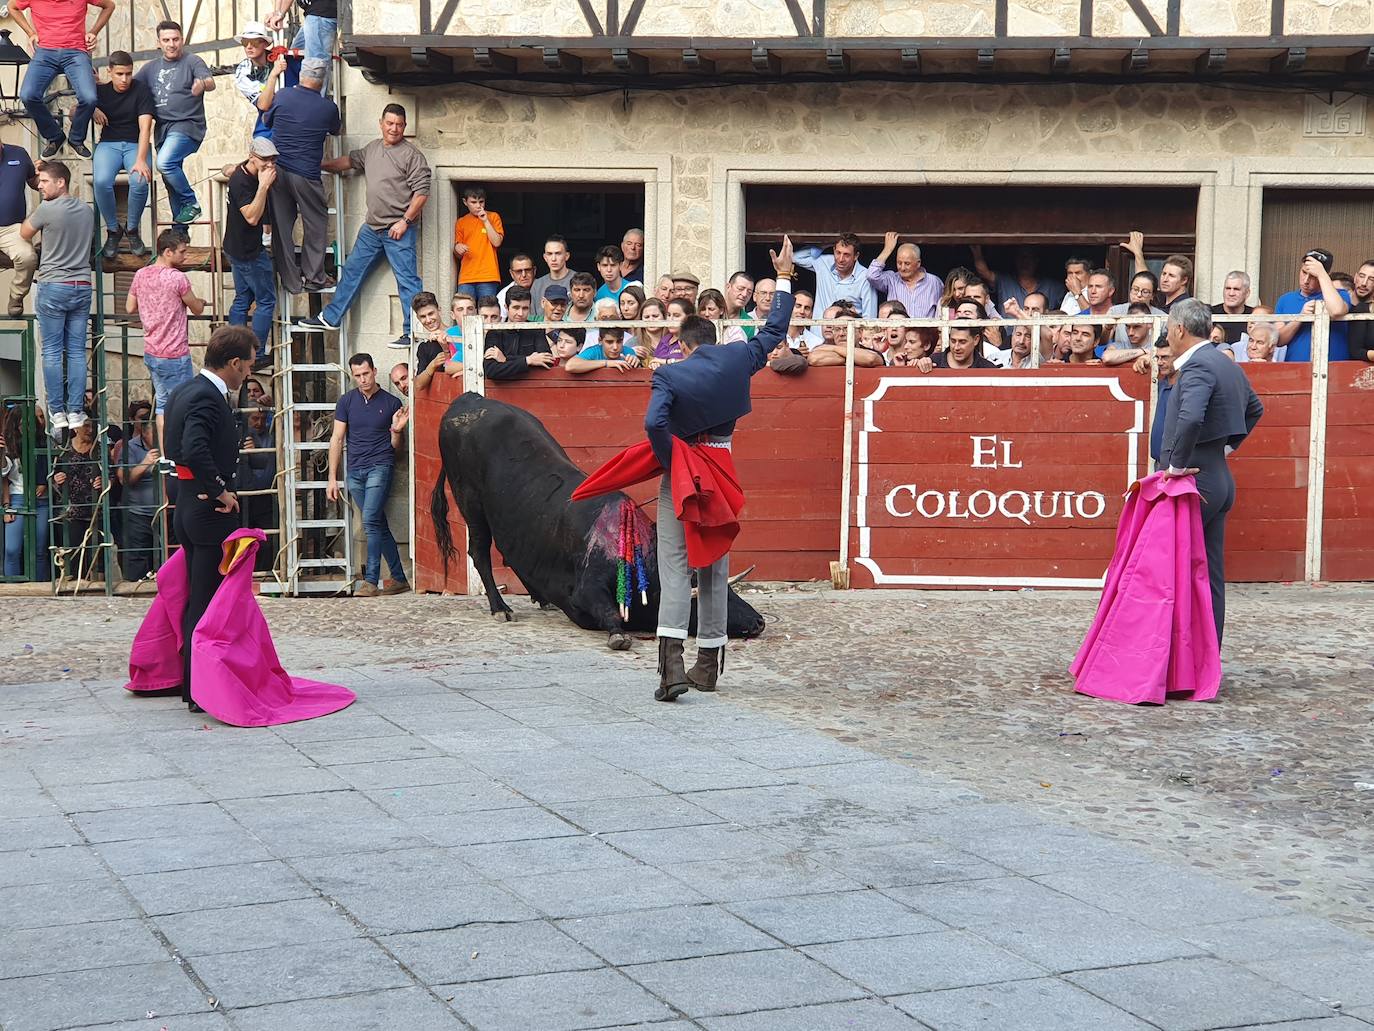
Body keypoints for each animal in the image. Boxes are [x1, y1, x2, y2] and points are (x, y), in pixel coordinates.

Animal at [428, 395, 769, 646]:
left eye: (731, 592)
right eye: (707, 601)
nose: (758, 622)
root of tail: (466, 400)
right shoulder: (586, 591)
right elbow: (610, 614)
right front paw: (618, 635)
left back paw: (539, 597)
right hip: (470, 503)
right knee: (480, 552)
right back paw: (500, 608)